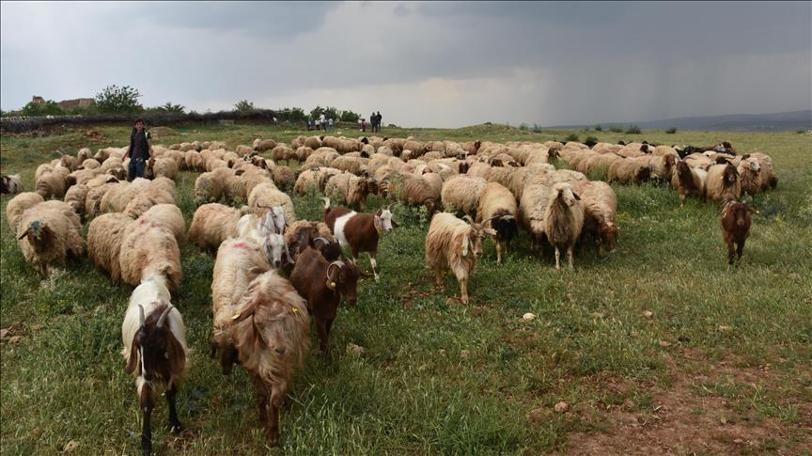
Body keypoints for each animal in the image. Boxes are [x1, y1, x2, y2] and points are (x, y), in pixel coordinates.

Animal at [119, 272, 188, 454]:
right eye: (139, 346)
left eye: (162, 346)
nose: (149, 374)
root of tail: (152, 279)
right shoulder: (142, 373)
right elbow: (146, 404)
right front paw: (145, 444)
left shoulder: (173, 371)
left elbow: (171, 394)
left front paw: (175, 424)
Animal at [211, 264, 310, 446]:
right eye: (260, 323)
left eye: (285, 319)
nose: (280, 349)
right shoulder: (253, 367)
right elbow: (261, 395)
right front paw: (263, 421)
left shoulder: (281, 367)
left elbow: (274, 400)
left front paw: (273, 435)